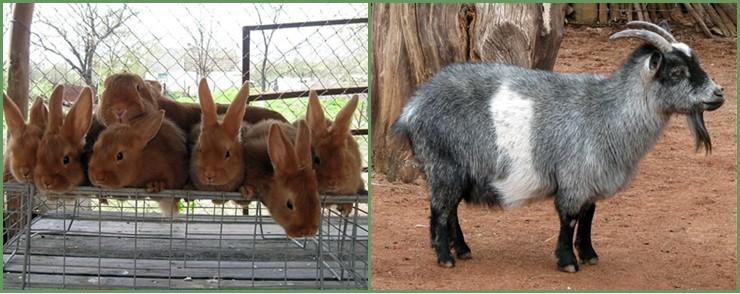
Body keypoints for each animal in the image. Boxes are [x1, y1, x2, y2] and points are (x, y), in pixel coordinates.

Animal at [396, 21, 724, 274]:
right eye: (677, 72)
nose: (718, 93)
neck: (606, 112)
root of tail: (412, 108)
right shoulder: (574, 179)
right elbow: (569, 219)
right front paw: (568, 261)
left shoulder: (591, 180)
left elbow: (589, 217)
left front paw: (589, 255)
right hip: (443, 165)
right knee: (440, 209)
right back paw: (445, 257)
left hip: (454, 171)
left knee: (450, 209)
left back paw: (462, 249)